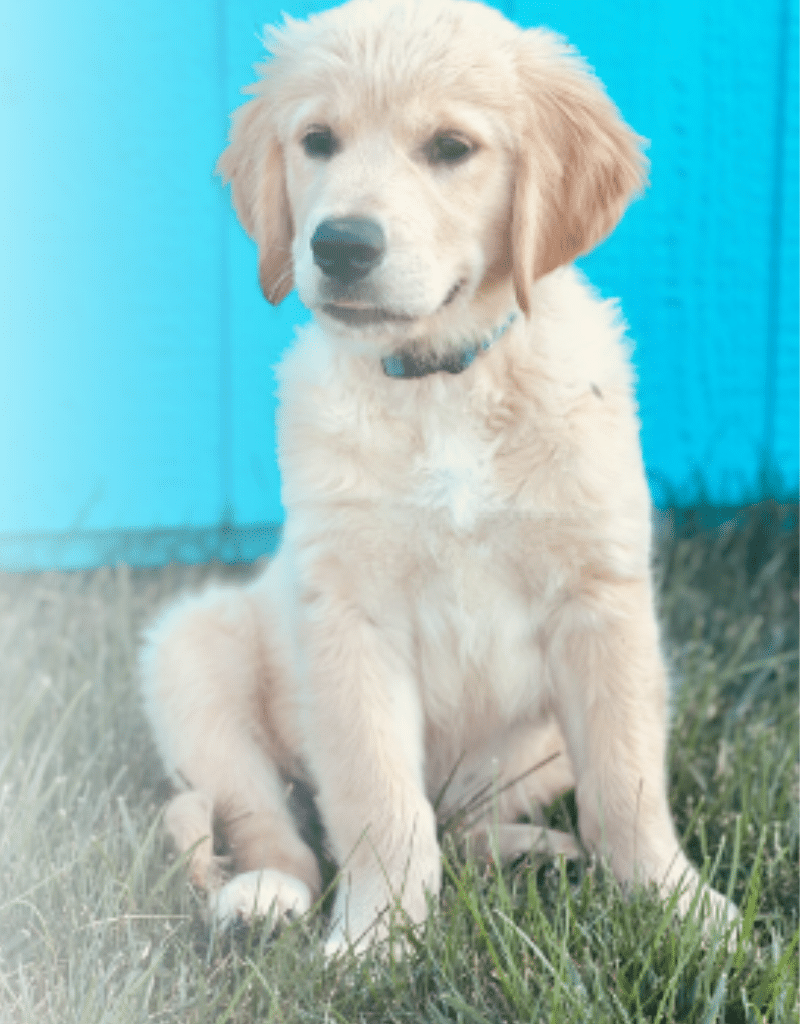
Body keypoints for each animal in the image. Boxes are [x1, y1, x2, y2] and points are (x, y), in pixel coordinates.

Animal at [140, 0, 741, 950]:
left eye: (452, 148)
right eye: (318, 141)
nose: (340, 245)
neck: (443, 382)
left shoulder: (601, 603)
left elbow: (626, 783)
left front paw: (680, 908)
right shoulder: (349, 617)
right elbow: (379, 799)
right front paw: (378, 937)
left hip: (546, 739)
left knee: (466, 822)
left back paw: (537, 852)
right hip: (189, 651)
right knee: (272, 816)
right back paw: (267, 894)